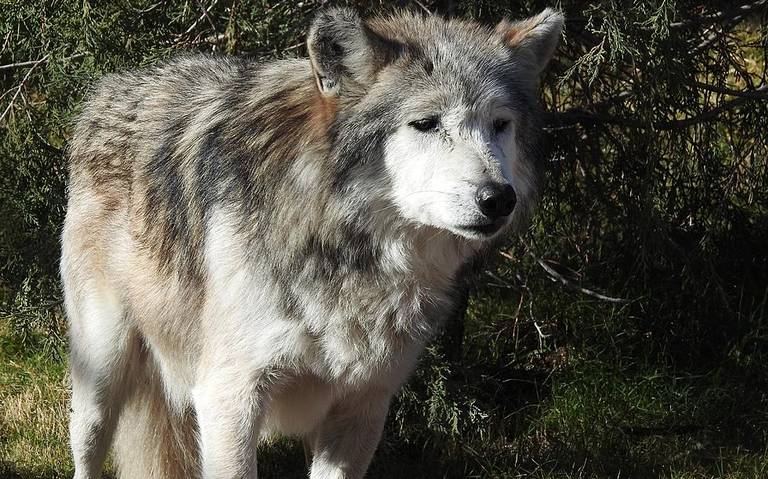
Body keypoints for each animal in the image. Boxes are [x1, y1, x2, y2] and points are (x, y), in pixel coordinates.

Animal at [61, 5, 564, 478]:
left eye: (499, 124)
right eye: (425, 123)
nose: (498, 198)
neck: (345, 249)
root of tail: (113, 87)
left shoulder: (364, 404)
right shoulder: (229, 397)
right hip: (100, 380)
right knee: (87, 454)